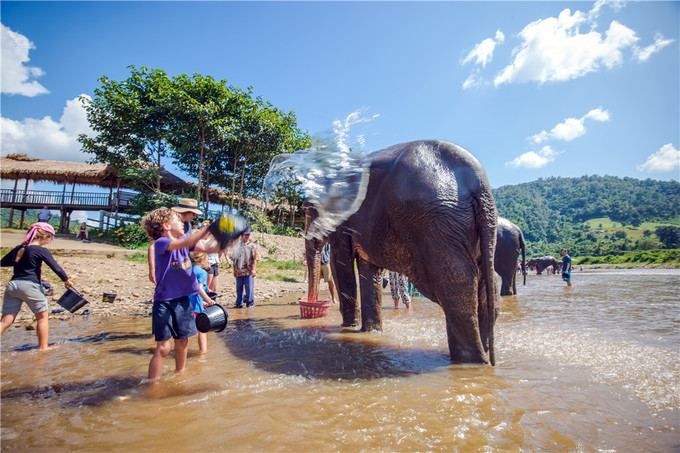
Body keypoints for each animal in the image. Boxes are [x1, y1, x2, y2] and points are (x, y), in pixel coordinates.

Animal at [306, 138, 496, 364]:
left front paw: (347, 328)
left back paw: (471, 362)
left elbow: (342, 264)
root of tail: (480, 183)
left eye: (308, 212)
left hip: (436, 224)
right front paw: (370, 333)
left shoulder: (343, 220)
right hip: (474, 227)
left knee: (455, 286)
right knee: (486, 288)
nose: (310, 303)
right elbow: (368, 270)